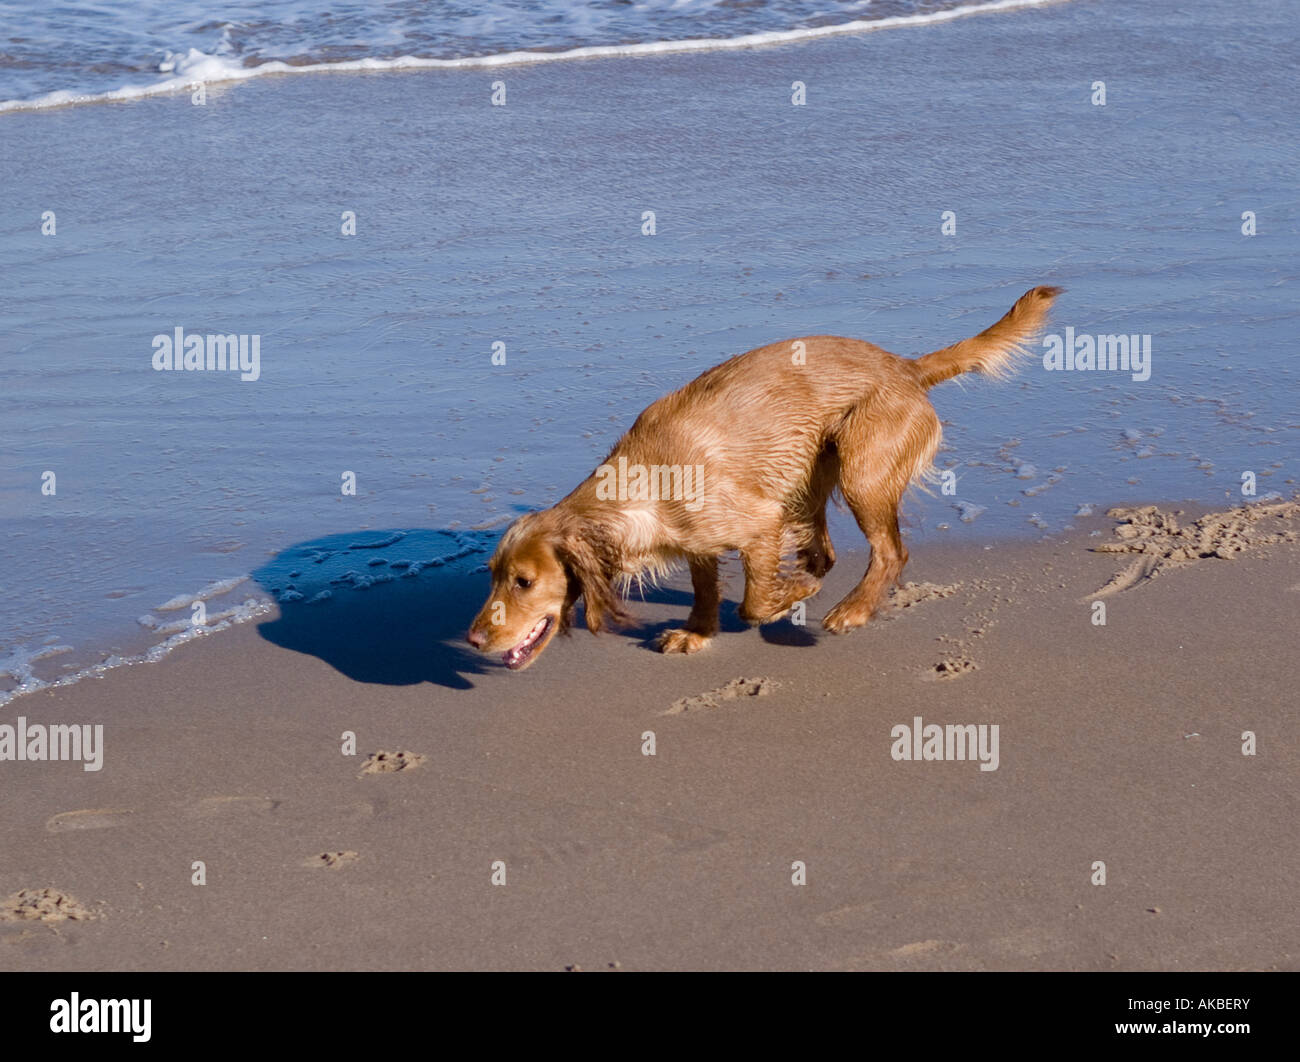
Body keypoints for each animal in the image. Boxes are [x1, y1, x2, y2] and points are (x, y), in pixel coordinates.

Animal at [473, 282, 1060, 662]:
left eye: (524, 582)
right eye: (493, 576)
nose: (474, 640)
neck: (644, 486)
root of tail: (906, 367)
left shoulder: (759, 523)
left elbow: (754, 602)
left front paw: (787, 597)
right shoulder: (704, 543)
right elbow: (708, 592)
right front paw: (697, 633)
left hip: (860, 471)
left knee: (890, 553)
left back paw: (851, 609)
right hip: (809, 481)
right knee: (826, 552)